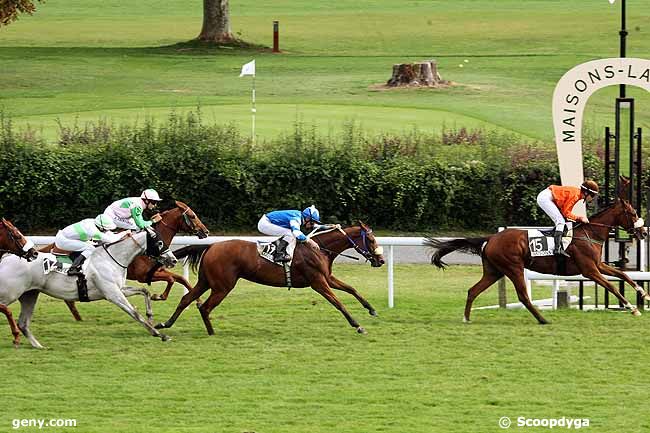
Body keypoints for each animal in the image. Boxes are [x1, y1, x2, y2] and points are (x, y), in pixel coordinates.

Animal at [48, 201, 210, 318]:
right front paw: (159, 296)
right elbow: (171, 279)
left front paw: (198, 301)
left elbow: (181, 279)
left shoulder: (157, 270)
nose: (206, 231)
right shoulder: (144, 276)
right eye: (193, 216)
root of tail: (53, 244)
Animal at [154, 223, 382, 334]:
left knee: (187, 299)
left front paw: (371, 309)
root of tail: (211, 246)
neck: (319, 248)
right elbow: (338, 302)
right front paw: (357, 325)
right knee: (205, 307)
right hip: (222, 286)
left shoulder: (327, 277)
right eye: (370, 240)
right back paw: (211, 331)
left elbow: (351, 289)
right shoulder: (317, 282)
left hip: (206, 281)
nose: (380, 260)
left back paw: (165, 324)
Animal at [428, 191, 644, 322]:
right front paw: (632, 307)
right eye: (633, 213)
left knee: (473, 291)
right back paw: (542, 319)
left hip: (494, 271)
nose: (644, 232)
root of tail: (491, 238)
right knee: (523, 296)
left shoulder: (597, 265)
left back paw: (466, 318)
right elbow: (611, 286)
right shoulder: (589, 270)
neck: (590, 234)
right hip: (513, 268)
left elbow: (623, 275)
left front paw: (643, 292)